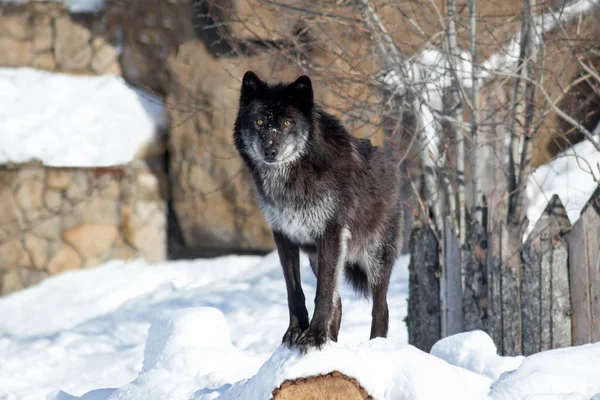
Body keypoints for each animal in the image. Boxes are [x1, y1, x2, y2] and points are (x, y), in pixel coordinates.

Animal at [233, 70, 404, 352]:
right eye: (259, 121)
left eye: (288, 123)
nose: (270, 150)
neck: (293, 179)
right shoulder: (283, 235)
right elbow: (295, 291)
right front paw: (296, 331)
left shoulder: (331, 234)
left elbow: (322, 293)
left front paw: (314, 337)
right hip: (317, 256)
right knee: (340, 302)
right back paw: (331, 337)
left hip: (375, 259)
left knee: (381, 309)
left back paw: (374, 346)